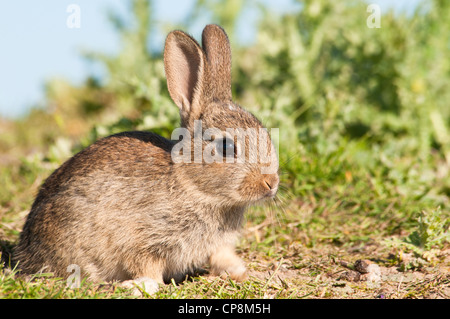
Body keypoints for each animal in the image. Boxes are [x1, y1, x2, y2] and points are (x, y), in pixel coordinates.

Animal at [13, 23, 278, 296]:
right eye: (225, 146)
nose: (271, 182)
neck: (193, 186)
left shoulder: (215, 245)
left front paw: (242, 272)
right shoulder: (140, 239)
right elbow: (146, 265)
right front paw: (141, 285)